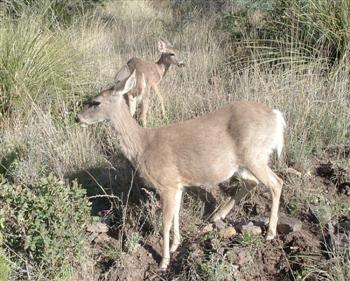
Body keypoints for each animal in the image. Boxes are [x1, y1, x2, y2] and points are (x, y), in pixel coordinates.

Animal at [75, 71, 286, 270]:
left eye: (96, 102)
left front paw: (164, 261)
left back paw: (270, 232)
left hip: (254, 155)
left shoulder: (166, 183)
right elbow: (177, 214)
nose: (77, 118)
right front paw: (176, 244)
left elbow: (166, 222)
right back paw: (218, 215)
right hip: (243, 164)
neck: (143, 145)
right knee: (253, 182)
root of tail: (277, 117)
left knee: (276, 183)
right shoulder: (178, 185)